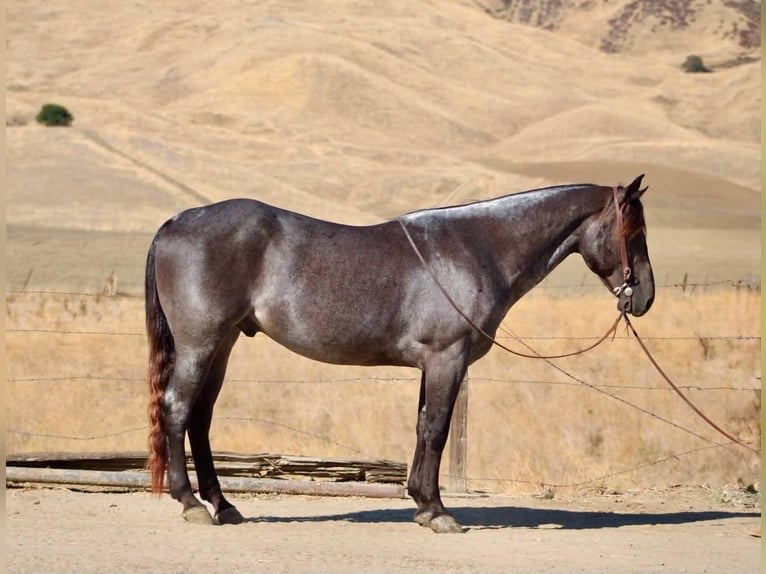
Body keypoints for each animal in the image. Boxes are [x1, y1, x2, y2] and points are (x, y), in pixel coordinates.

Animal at [145, 174, 654, 533]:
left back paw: (223, 505)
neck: (478, 248)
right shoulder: (447, 359)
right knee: (177, 409)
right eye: (633, 231)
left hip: (223, 343)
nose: (644, 297)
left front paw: (423, 504)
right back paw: (191, 503)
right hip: (200, 343)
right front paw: (439, 512)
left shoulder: (433, 364)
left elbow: (423, 427)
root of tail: (177, 221)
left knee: (200, 418)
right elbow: (437, 430)